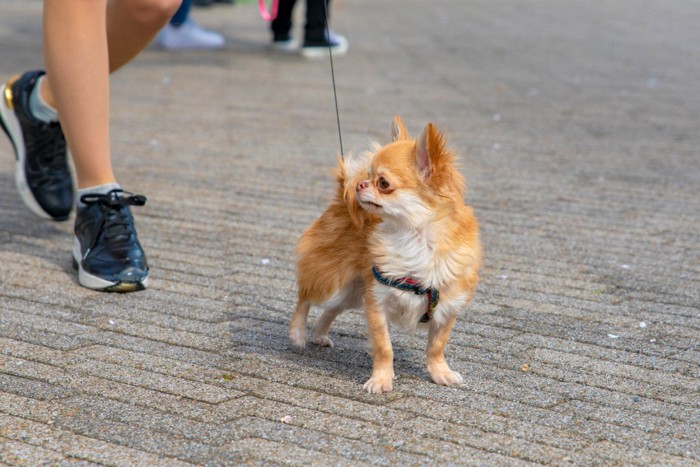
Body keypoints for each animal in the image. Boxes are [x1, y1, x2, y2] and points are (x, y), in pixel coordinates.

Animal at [292, 115, 482, 394]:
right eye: (368, 175)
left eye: (383, 183)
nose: (361, 183)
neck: (413, 238)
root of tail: (342, 194)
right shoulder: (377, 302)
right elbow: (384, 347)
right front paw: (381, 379)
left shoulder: (447, 306)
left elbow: (436, 346)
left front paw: (440, 373)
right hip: (333, 282)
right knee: (305, 297)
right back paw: (297, 333)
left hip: (353, 292)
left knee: (331, 310)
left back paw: (318, 333)